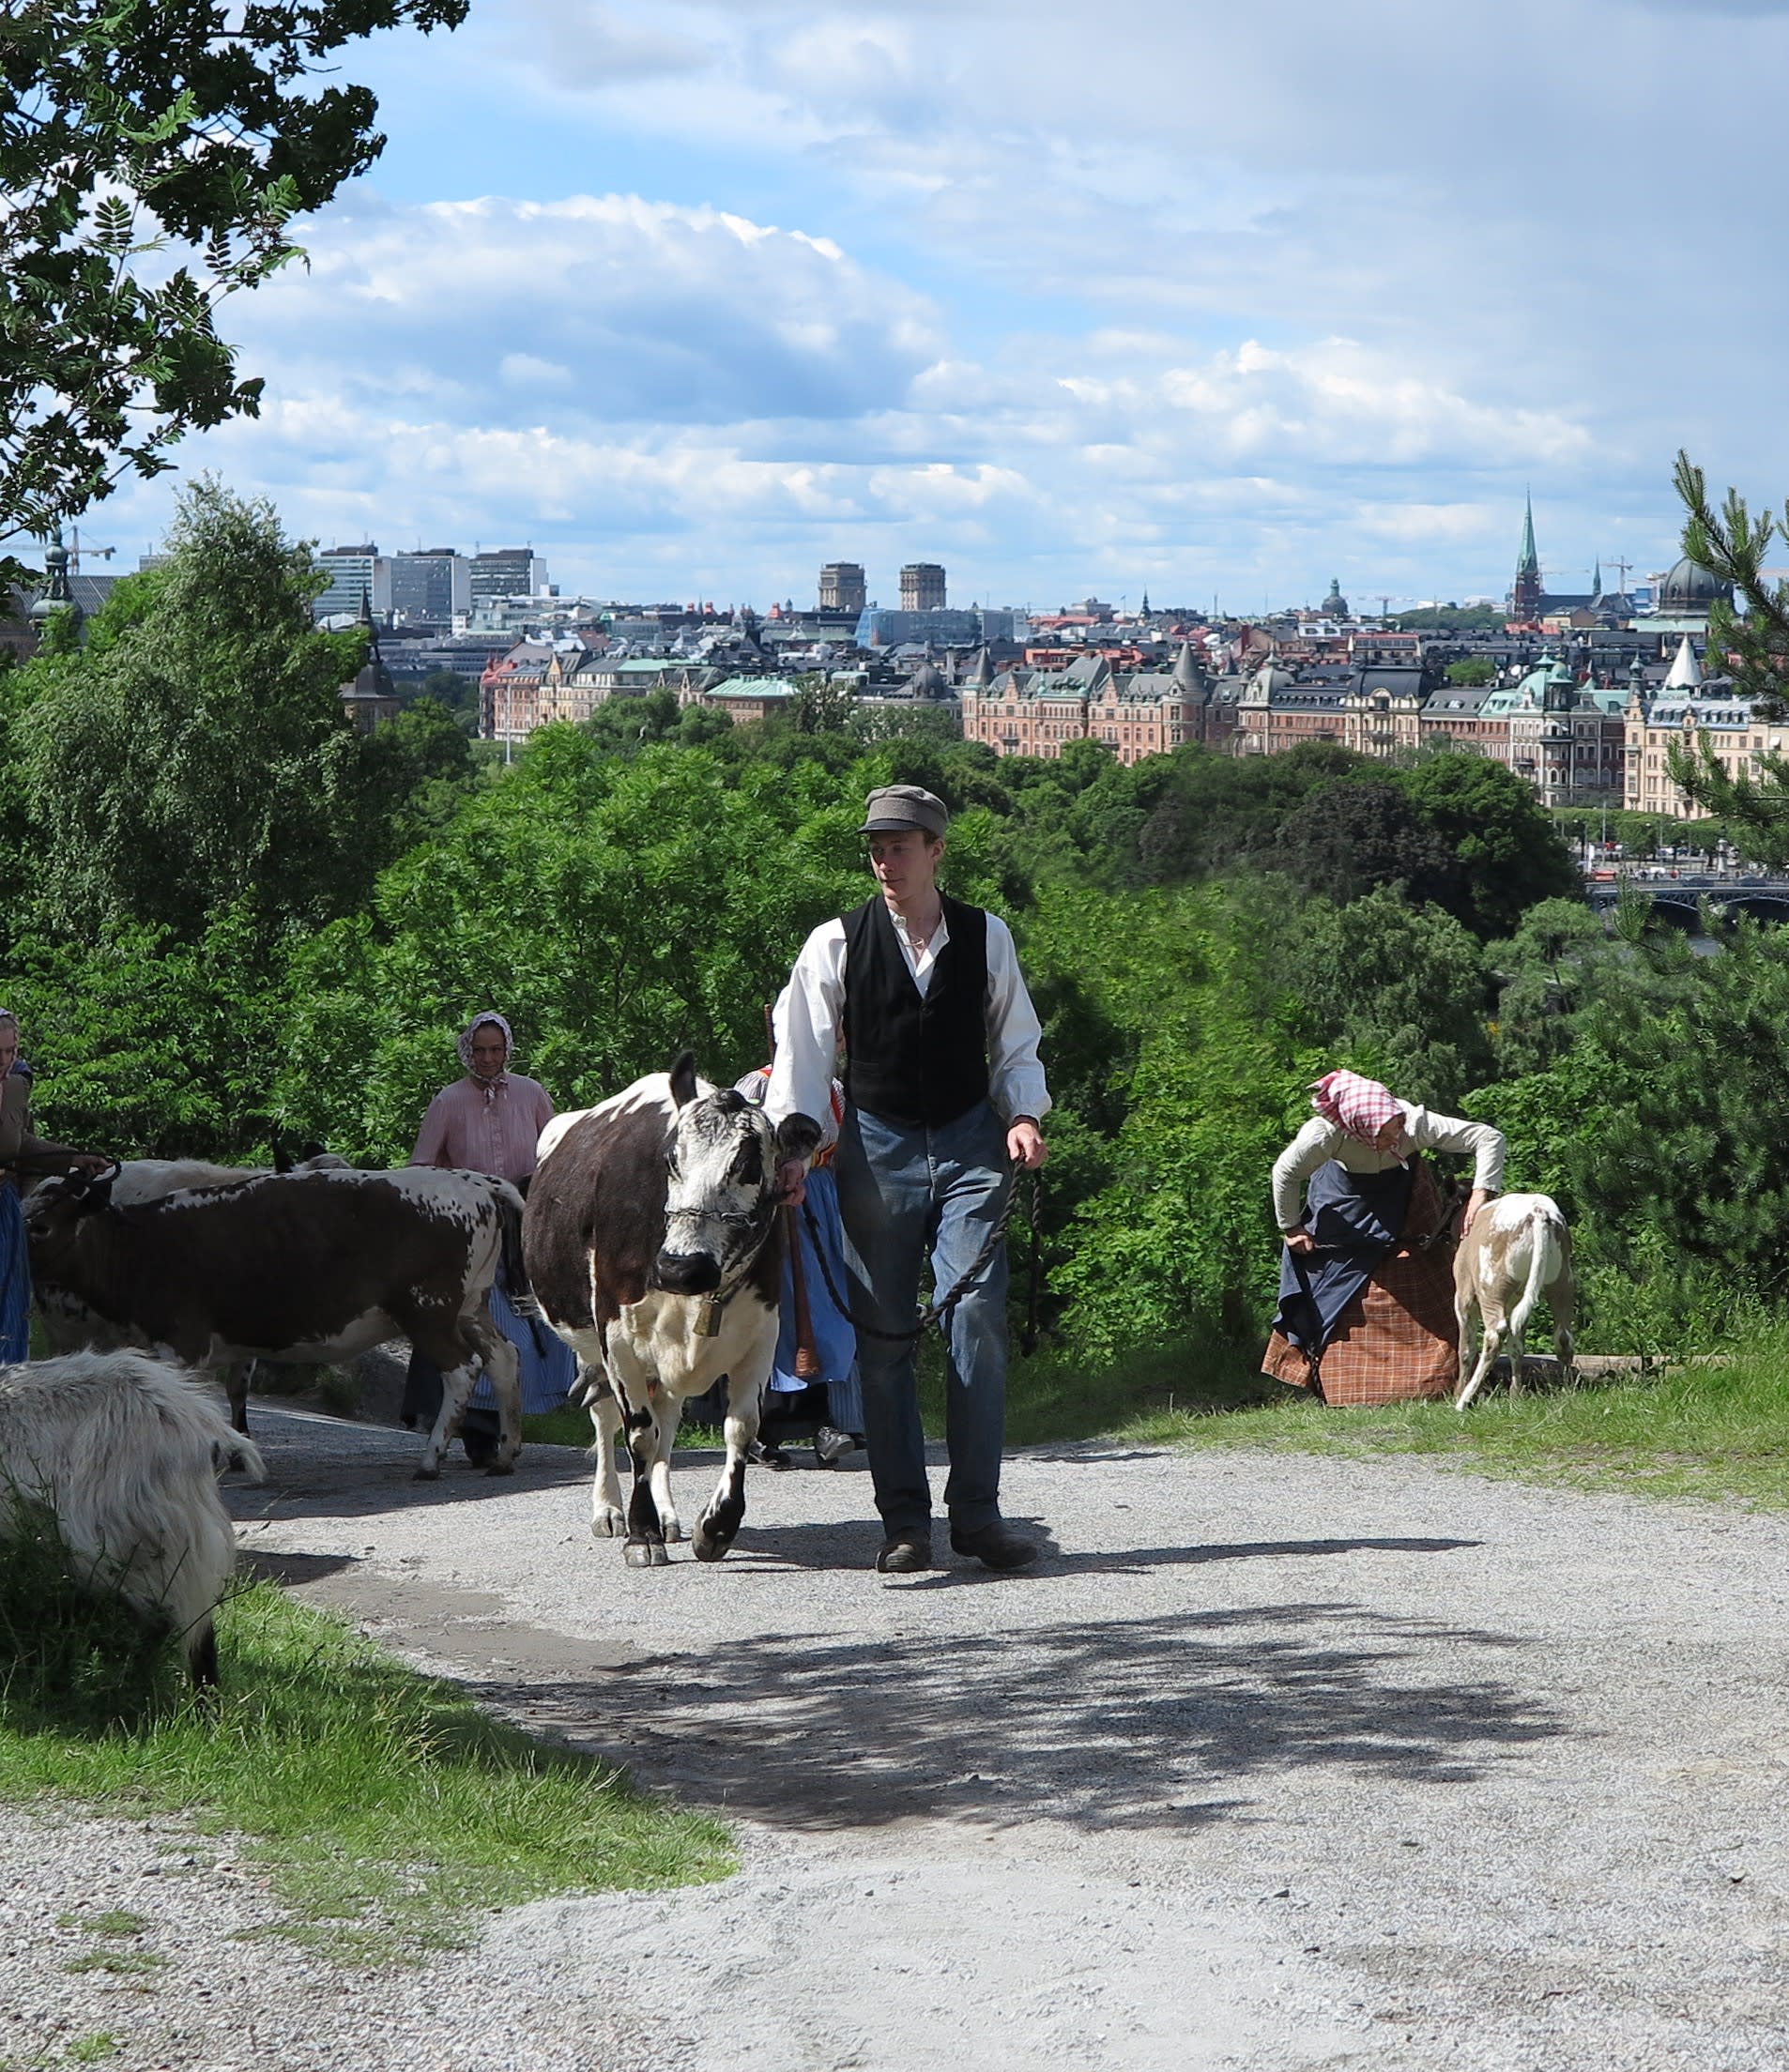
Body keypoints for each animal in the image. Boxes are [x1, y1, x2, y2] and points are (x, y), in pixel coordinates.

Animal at [520, 1052, 820, 1566]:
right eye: (669, 1160)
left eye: (749, 1167)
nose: (681, 1266)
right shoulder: (616, 1337)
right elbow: (638, 1434)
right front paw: (640, 1534)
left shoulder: (762, 1332)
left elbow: (740, 1428)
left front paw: (716, 1527)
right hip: (587, 1347)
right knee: (608, 1420)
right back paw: (609, 1510)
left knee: (667, 1420)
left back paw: (666, 1514)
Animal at [1459, 1193, 1583, 1417]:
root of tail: (1539, 1211)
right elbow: (1516, 1345)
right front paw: (1515, 1394)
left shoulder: (1463, 1300)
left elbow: (1466, 1350)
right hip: (1562, 1281)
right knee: (1563, 1336)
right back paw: (1567, 1389)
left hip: (1491, 1287)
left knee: (1494, 1335)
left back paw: (1464, 1400)